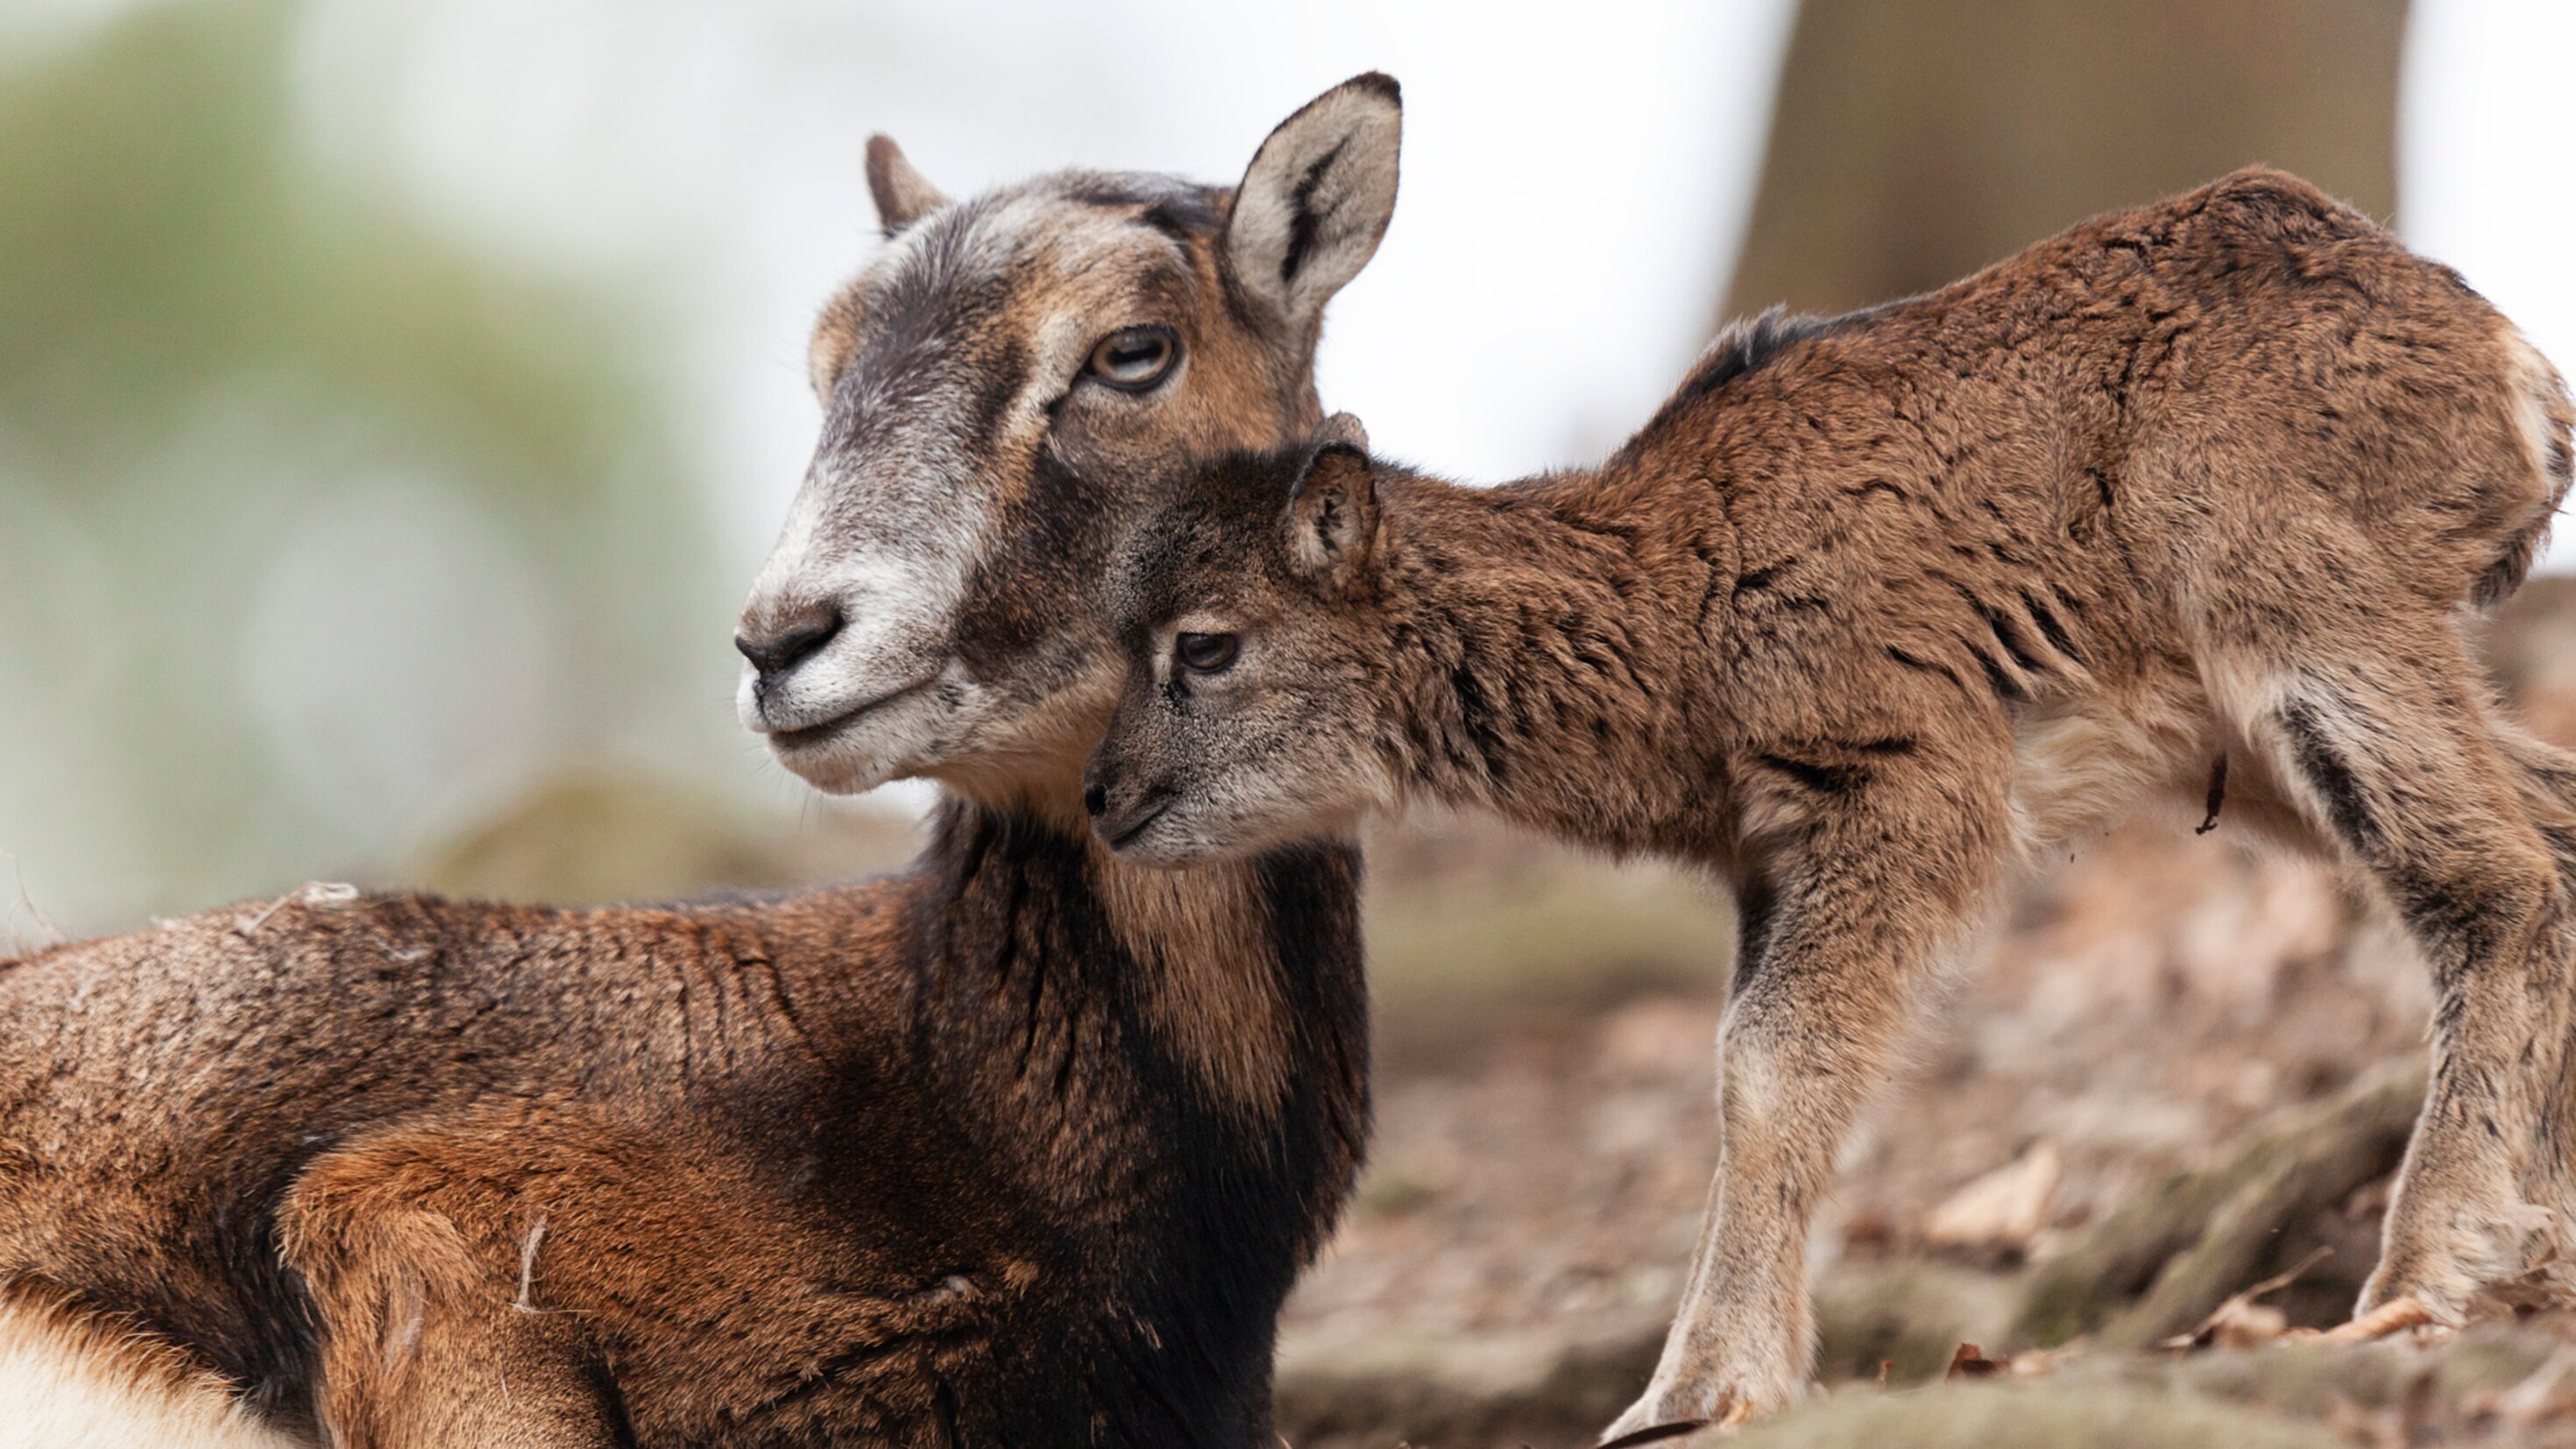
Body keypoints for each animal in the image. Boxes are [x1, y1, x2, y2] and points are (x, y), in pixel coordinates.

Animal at [1081, 166, 2576, 1431]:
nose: (1104, 797)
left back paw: (2421, 1274)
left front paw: (1695, 1392)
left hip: (2300, 600)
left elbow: (1769, 1067)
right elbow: (1741, 1068)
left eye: (1206, 644)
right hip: (2244, 730)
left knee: (2497, 881)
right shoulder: (1766, 853)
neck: (1675, 616)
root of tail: (2516, 370)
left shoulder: (1909, 779)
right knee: (2554, 825)